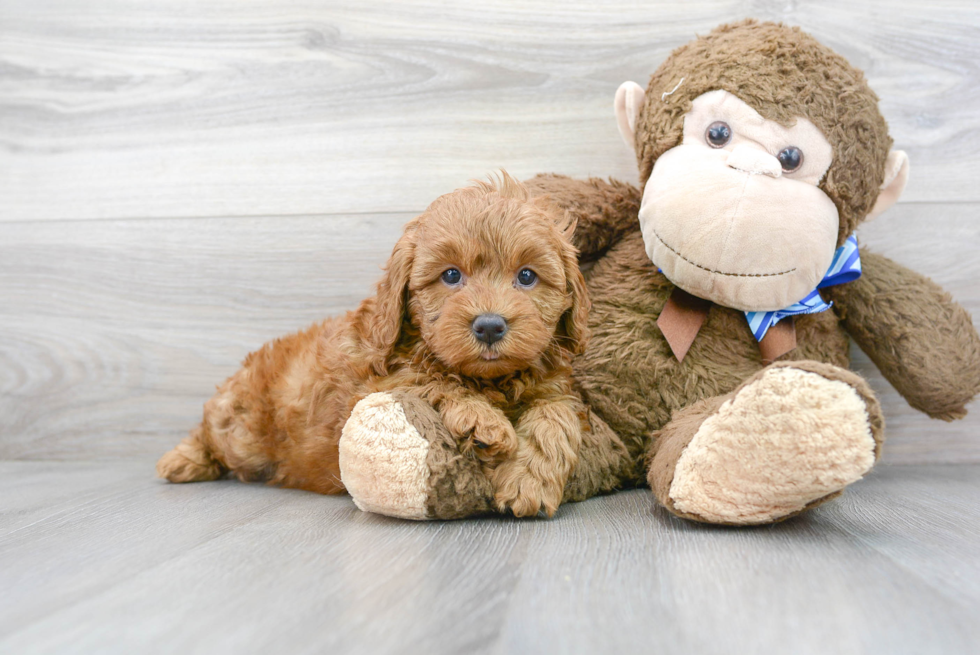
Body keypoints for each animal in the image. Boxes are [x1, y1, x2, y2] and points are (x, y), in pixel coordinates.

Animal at [159, 170, 588, 516]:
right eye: (451, 275)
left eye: (527, 276)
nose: (489, 326)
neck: (490, 380)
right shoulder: (371, 383)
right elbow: (429, 381)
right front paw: (482, 420)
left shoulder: (553, 388)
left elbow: (556, 418)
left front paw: (528, 482)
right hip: (242, 428)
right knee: (210, 431)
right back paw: (182, 460)